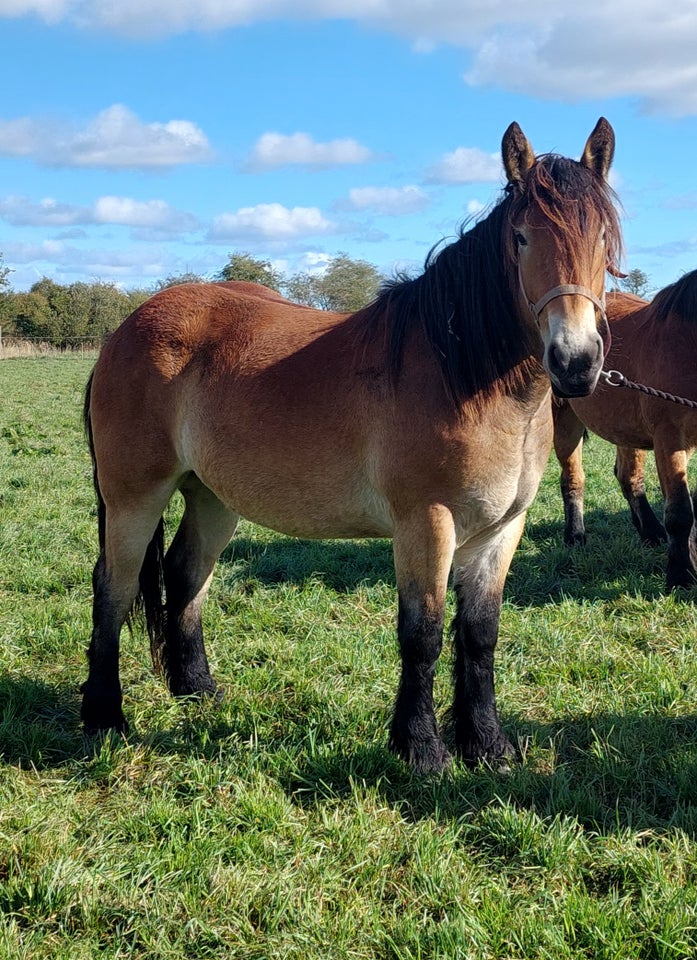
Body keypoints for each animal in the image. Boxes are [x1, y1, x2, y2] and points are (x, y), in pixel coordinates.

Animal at [83, 118, 620, 772]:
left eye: (603, 237)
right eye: (520, 237)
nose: (575, 362)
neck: (462, 374)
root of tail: (125, 329)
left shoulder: (501, 529)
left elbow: (480, 634)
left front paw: (487, 744)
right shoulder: (426, 523)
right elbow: (423, 633)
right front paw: (421, 749)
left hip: (212, 497)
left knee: (185, 576)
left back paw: (197, 691)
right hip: (134, 498)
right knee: (113, 590)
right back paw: (104, 716)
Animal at [556, 266, 697, 588]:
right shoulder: (670, 439)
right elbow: (680, 513)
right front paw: (680, 575)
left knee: (628, 476)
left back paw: (651, 532)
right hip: (564, 418)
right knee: (573, 478)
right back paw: (575, 536)